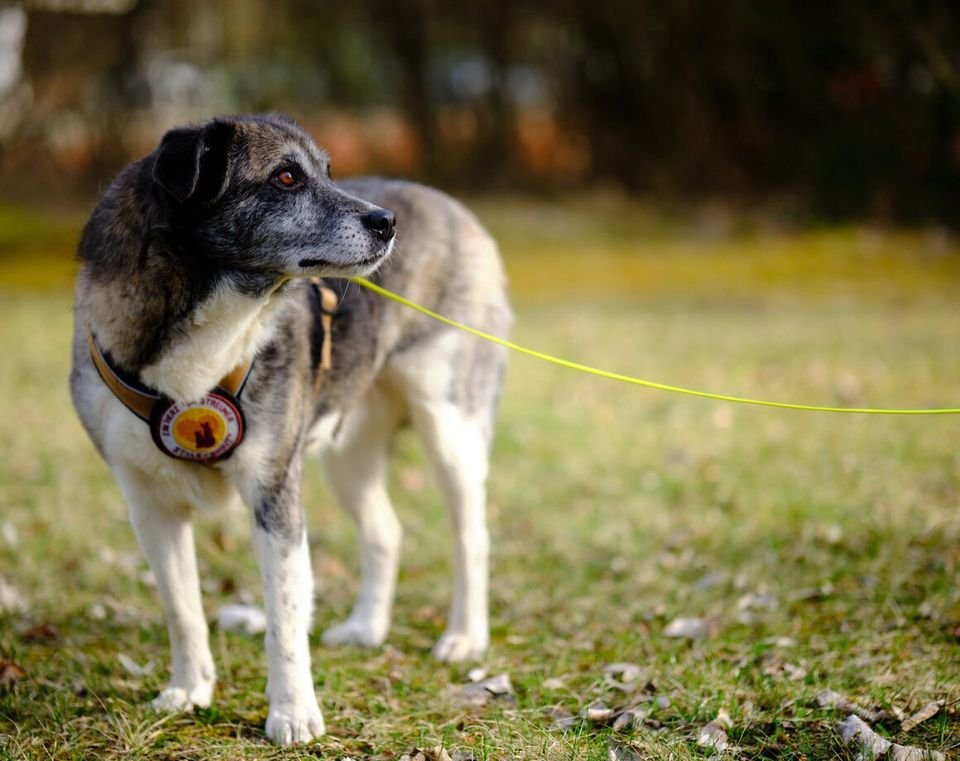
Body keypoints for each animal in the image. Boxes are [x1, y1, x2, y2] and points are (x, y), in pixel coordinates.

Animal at [69, 113, 510, 744]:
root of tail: (451, 207)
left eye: (326, 171)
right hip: (349, 451)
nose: (387, 223)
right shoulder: (150, 504)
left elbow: (283, 616)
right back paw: (366, 628)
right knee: (385, 531)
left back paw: (464, 637)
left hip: (450, 427)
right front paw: (189, 690)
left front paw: (293, 713)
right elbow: (182, 606)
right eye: (285, 177)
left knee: (471, 536)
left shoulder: (273, 491)